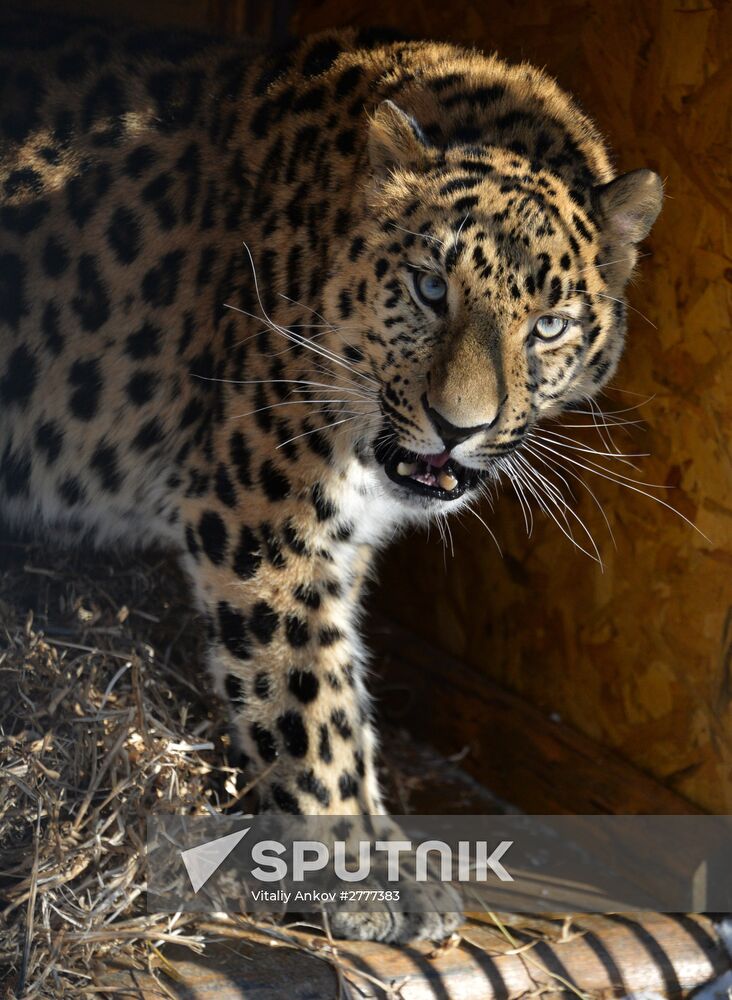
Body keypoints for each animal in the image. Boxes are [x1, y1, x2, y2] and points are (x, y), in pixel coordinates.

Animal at [0, 9, 663, 942]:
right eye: (429, 289)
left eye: (550, 326)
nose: (460, 428)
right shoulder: (265, 527)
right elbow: (310, 710)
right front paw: (358, 878)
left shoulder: (334, 550)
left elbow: (346, 692)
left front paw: (396, 858)